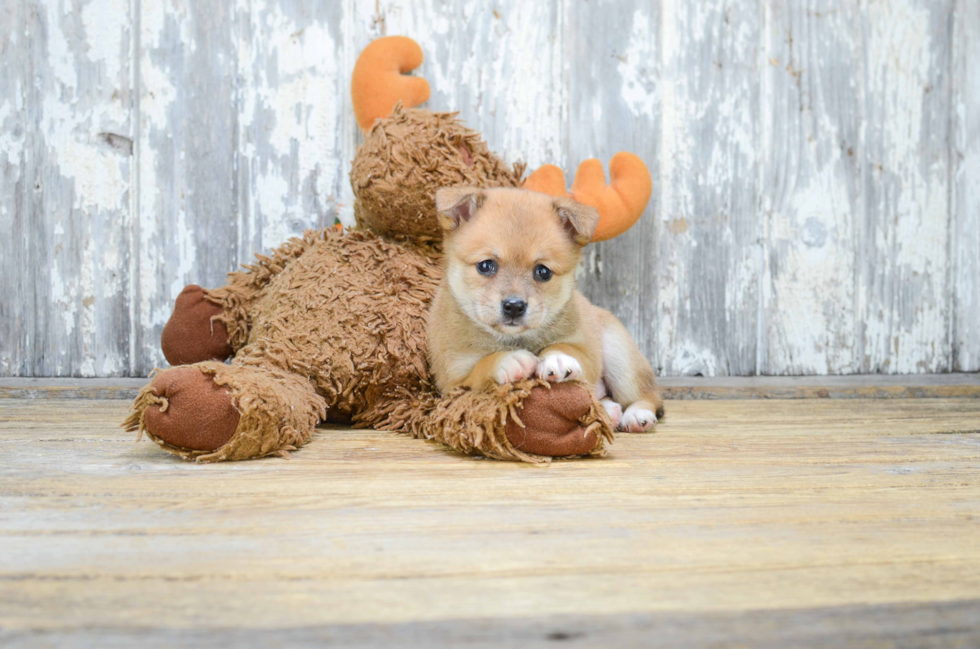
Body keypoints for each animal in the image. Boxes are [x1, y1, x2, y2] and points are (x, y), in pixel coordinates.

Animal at [424, 186, 664, 430]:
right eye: (485, 265)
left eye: (543, 271)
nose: (514, 306)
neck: (514, 339)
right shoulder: (454, 384)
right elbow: (481, 368)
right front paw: (508, 360)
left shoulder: (587, 353)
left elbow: (564, 347)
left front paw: (556, 358)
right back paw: (610, 412)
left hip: (620, 357)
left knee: (649, 394)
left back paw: (636, 415)